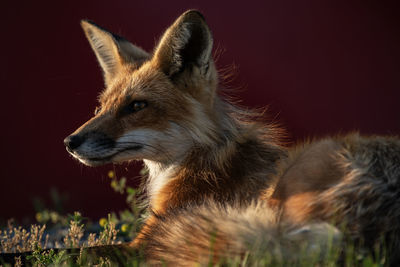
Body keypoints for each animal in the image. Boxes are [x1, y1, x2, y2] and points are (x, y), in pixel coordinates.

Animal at [64, 9, 400, 266]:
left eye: (136, 106)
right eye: (100, 107)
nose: (70, 142)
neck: (200, 162)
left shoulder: (139, 245)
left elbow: (73, 251)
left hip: (299, 172)